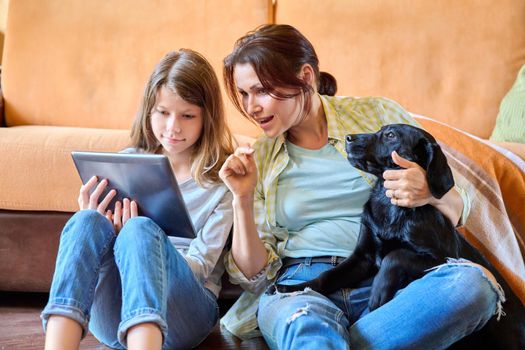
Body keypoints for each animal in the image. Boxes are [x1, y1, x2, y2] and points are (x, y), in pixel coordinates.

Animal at [276, 124, 520, 348]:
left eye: (391, 135)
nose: (347, 137)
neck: (390, 204)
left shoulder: (444, 257)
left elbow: (396, 256)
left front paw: (378, 291)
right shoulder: (362, 258)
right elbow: (327, 276)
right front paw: (292, 289)